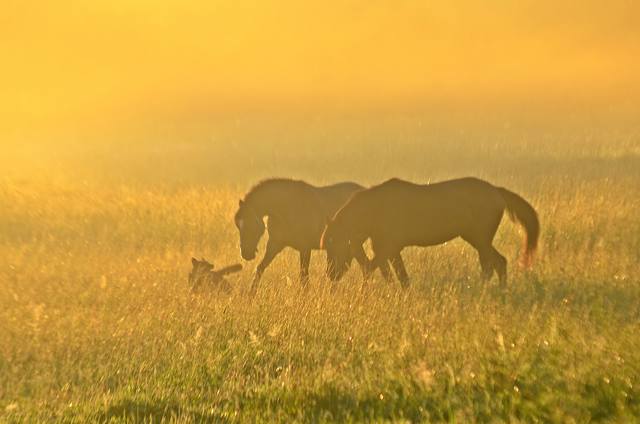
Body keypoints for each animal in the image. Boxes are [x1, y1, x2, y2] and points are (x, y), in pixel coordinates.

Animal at [234, 177, 404, 294]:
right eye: (238, 225)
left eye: (251, 225)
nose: (246, 254)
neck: (286, 208)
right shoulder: (275, 245)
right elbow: (260, 268)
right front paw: (251, 295)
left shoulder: (305, 248)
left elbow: (303, 276)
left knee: (363, 266)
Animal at [320, 177, 540, 286]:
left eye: (334, 244)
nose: (330, 275)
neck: (375, 209)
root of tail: (496, 191)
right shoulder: (390, 250)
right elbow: (398, 276)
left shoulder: (388, 248)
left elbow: (373, 269)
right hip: (478, 240)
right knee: (494, 264)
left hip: (480, 239)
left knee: (495, 263)